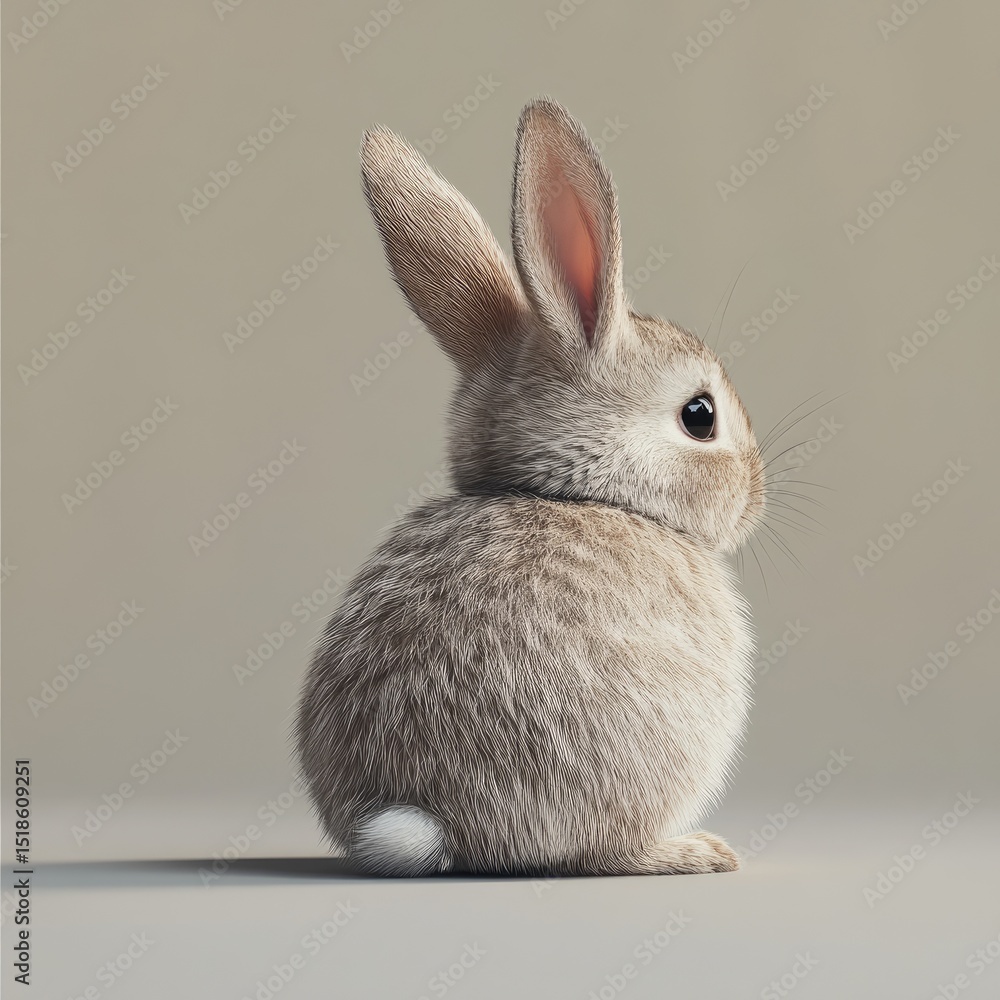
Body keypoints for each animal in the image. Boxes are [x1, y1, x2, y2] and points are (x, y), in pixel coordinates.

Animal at [295, 97, 765, 877]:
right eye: (700, 415)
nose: (756, 496)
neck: (580, 489)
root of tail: (439, 822)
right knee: (605, 853)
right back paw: (697, 850)